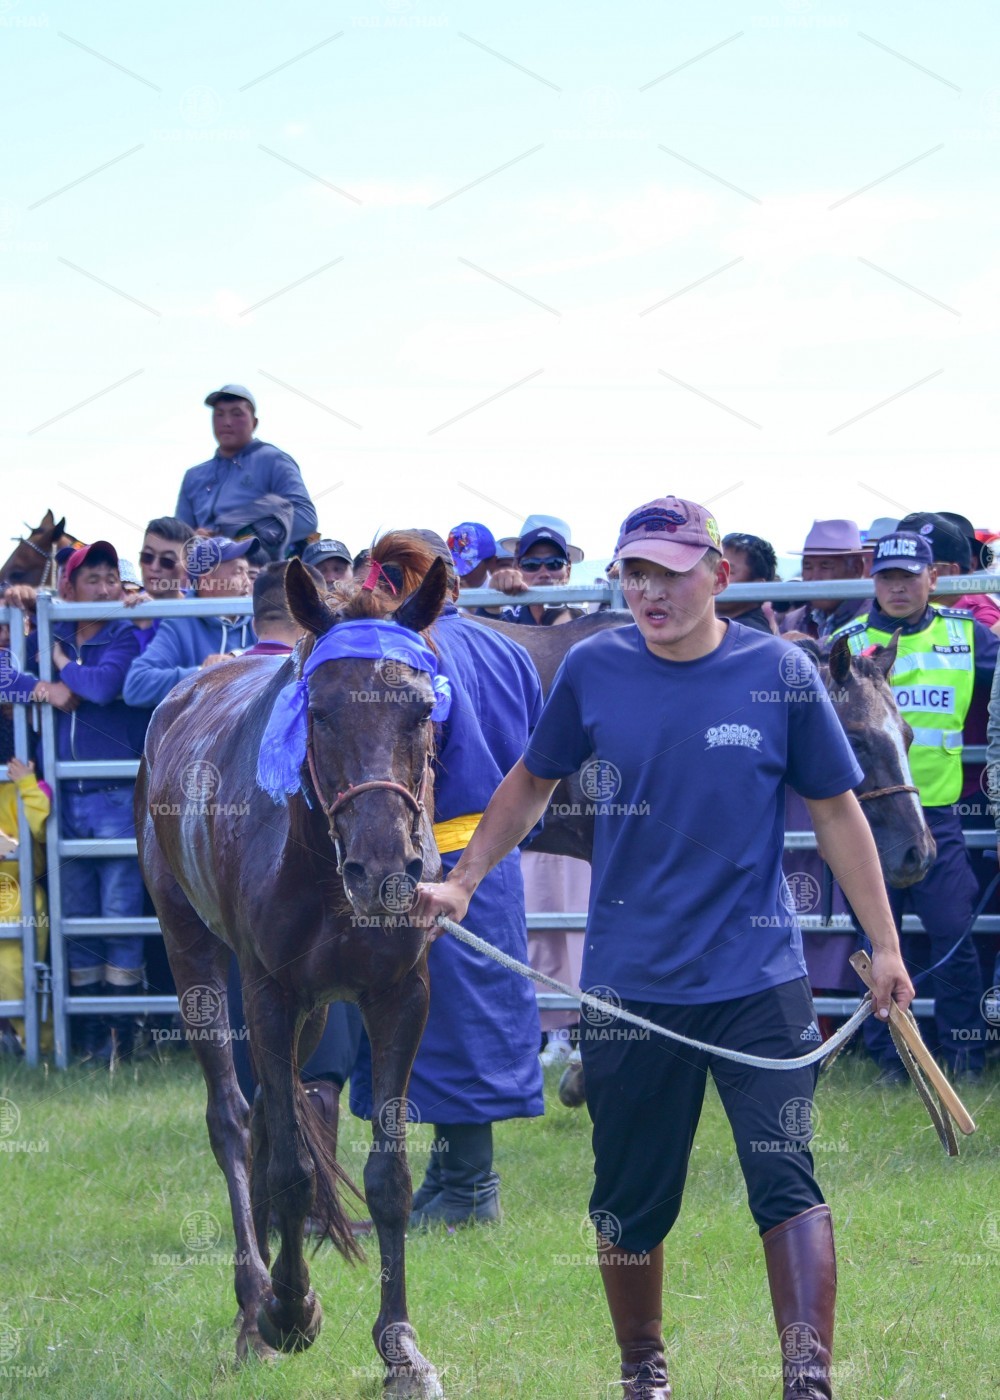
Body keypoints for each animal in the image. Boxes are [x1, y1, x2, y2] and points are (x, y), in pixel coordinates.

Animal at [136, 549, 450, 1395]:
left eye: (420, 712)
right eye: (324, 712)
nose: (384, 869)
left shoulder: (398, 995)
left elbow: (386, 1176)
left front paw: (400, 1346)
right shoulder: (268, 993)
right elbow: (283, 1167)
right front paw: (287, 1309)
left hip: (313, 1009)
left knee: (277, 1117)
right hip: (193, 953)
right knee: (234, 1119)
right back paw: (256, 1304)